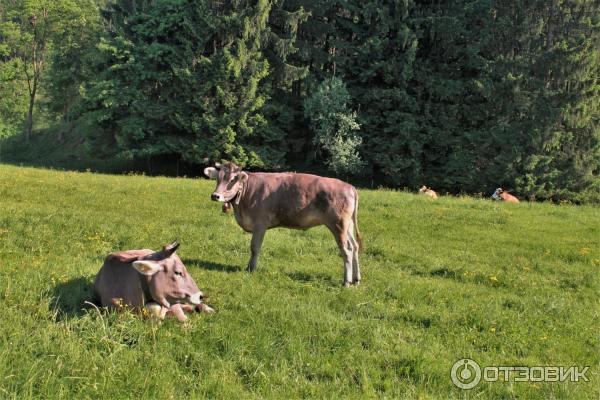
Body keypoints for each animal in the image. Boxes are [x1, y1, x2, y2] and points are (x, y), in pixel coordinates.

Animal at [203, 162, 360, 288]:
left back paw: (346, 282)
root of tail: (349, 186)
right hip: (348, 225)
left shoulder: (260, 224)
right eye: (217, 178)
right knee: (355, 246)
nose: (215, 196)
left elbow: (254, 248)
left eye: (231, 180)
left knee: (346, 250)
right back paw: (356, 279)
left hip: (338, 224)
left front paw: (250, 269)